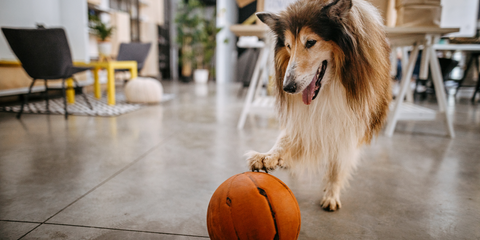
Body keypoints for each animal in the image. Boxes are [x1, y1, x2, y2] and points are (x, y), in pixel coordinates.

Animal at [248, 0, 390, 210]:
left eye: (310, 42)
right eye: (288, 45)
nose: (287, 87)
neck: (330, 87)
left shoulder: (350, 120)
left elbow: (338, 163)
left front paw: (331, 195)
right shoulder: (305, 117)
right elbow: (286, 138)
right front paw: (268, 156)